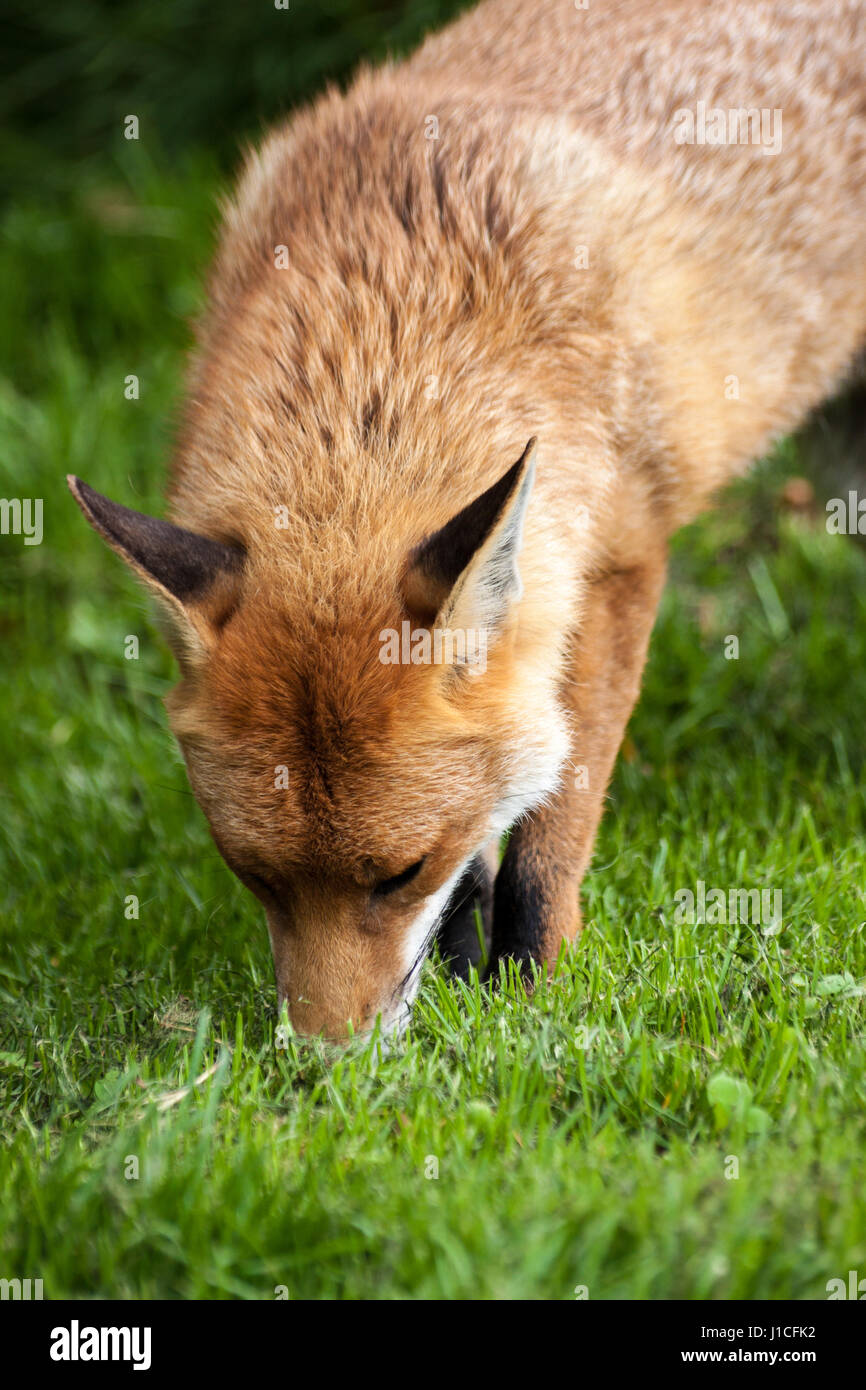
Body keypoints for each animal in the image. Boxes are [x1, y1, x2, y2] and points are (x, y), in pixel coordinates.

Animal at [69, 0, 866, 1039]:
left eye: (399, 874)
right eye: (258, 879)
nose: (325, 1062)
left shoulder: (614, 569)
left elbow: (550, 830)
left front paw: (529, 995)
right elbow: (482, 833)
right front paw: (456, 978)